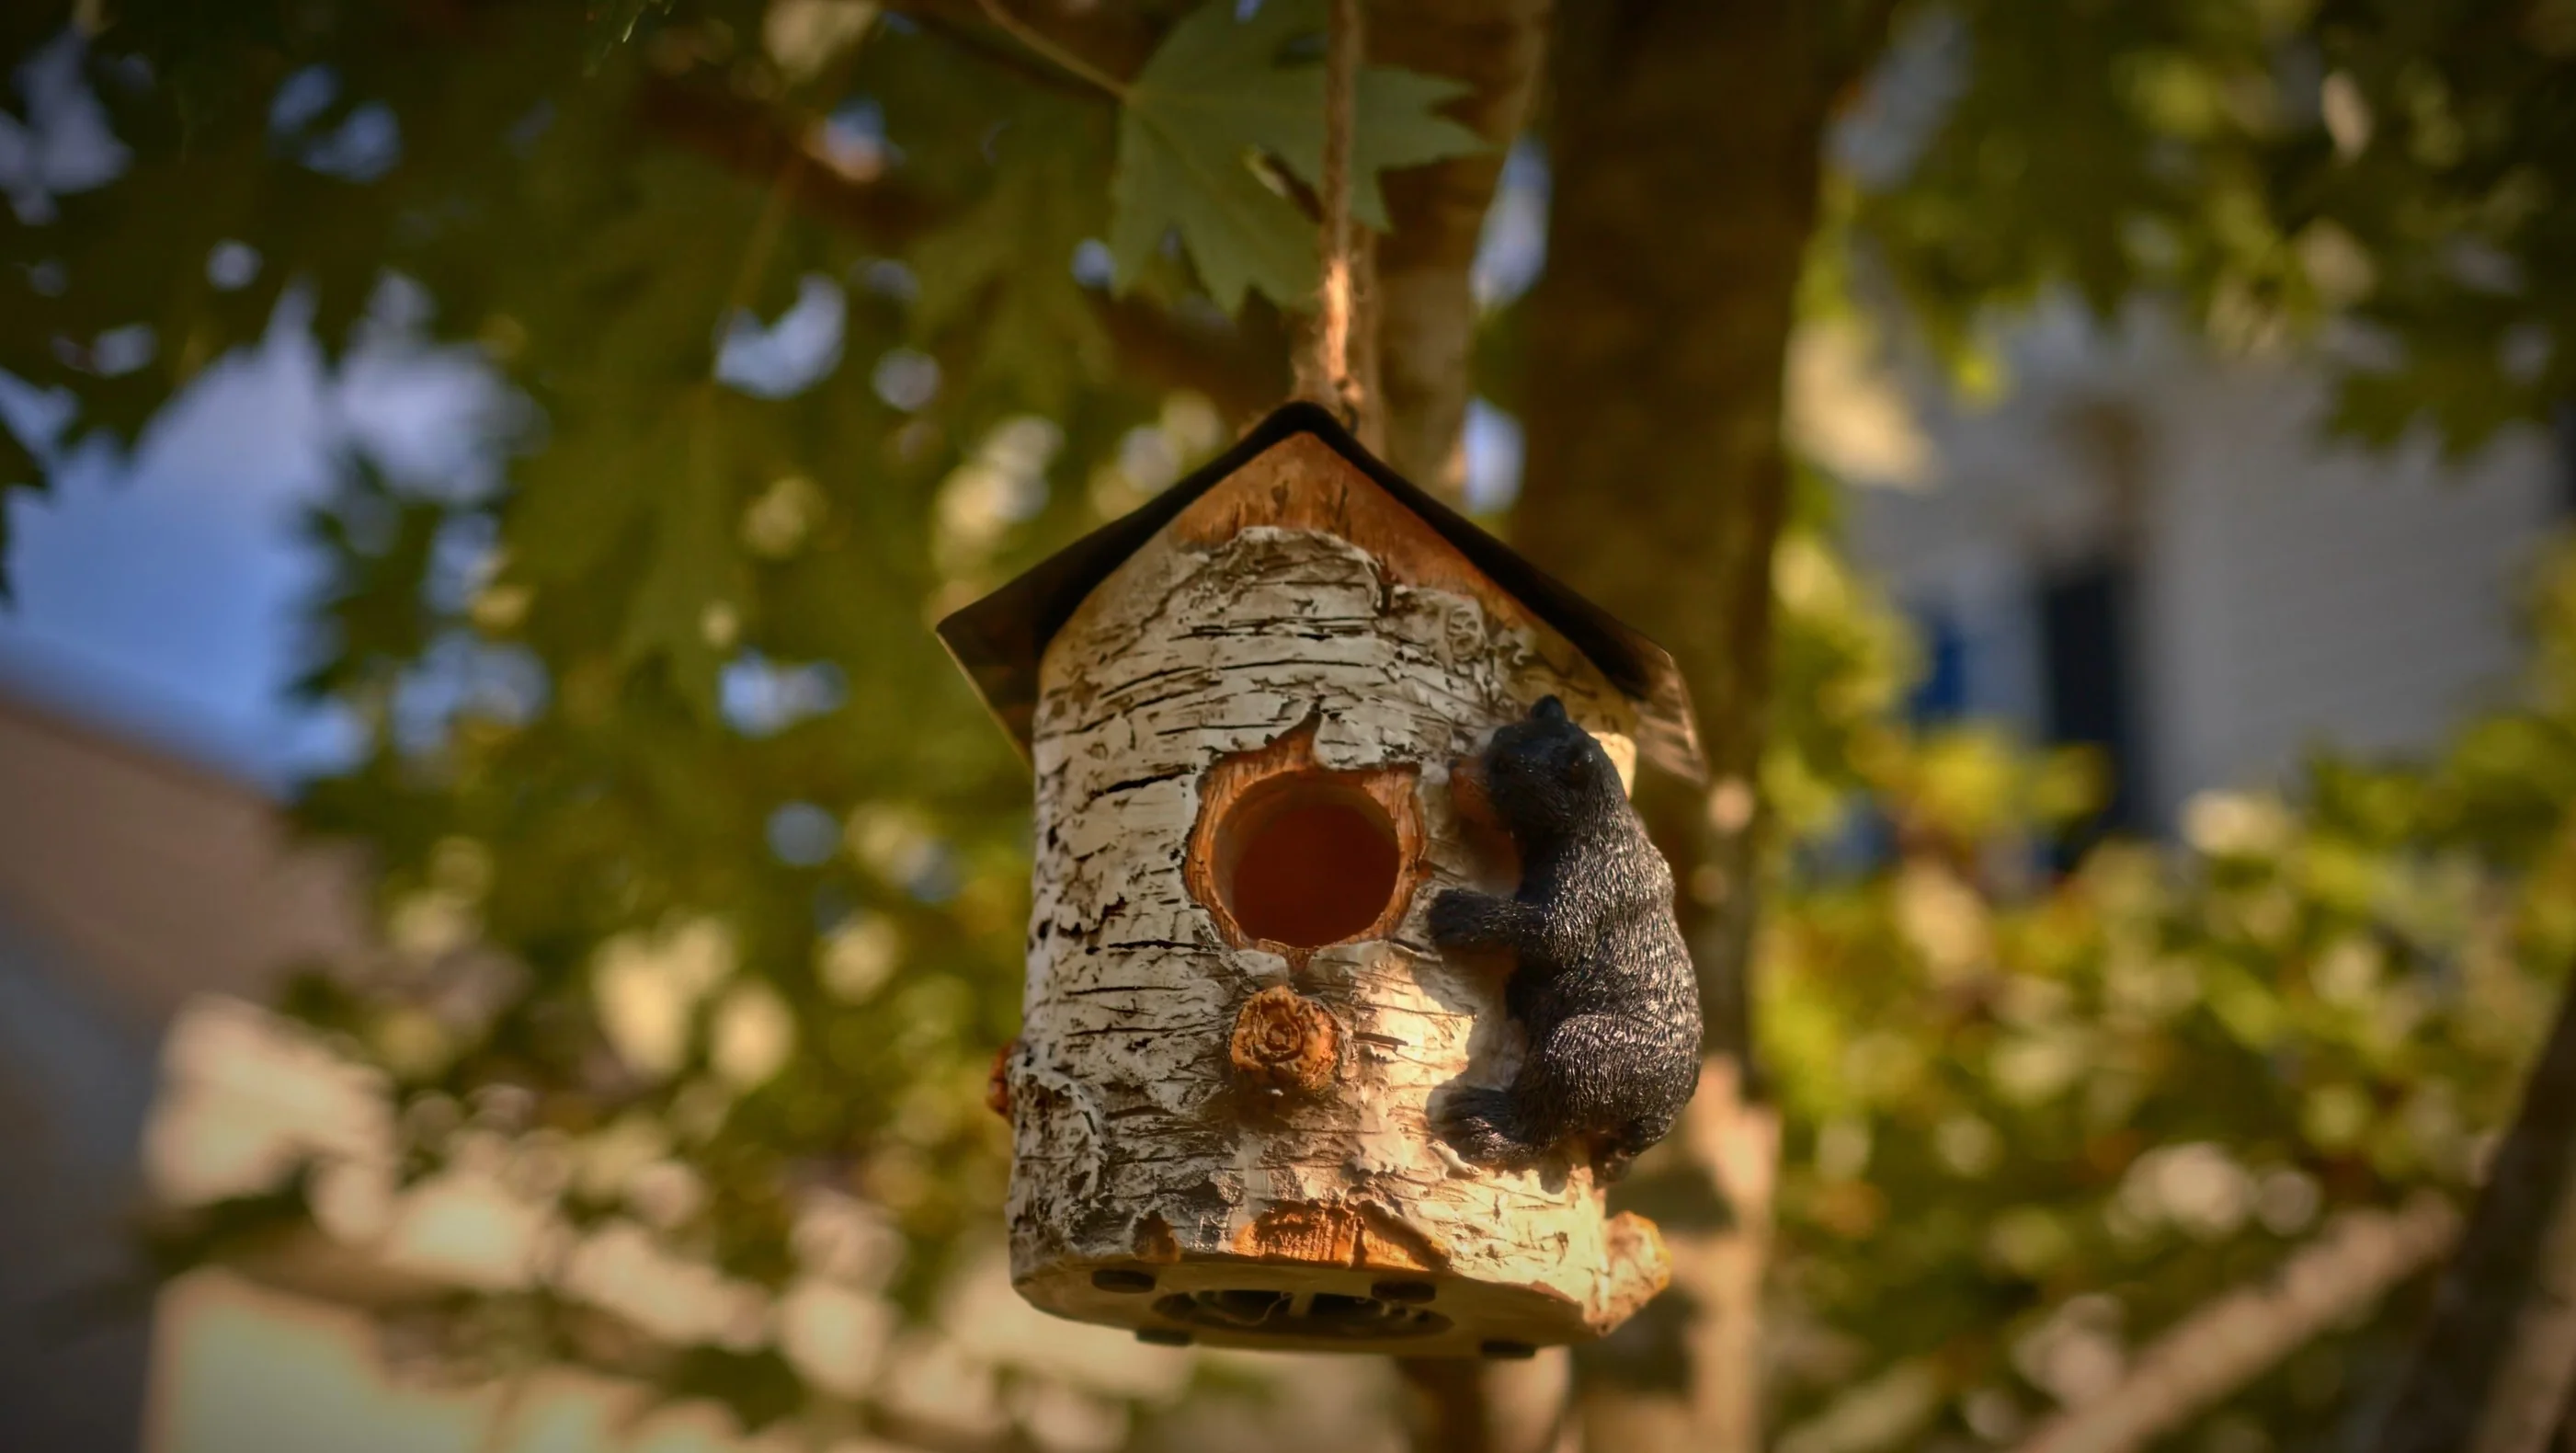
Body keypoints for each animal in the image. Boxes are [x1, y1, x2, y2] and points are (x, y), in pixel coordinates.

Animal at [1428, 695, 1701, 1181]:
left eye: (1507, 767)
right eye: (1498, 739)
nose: (1456, 769)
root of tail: (1664, 1114)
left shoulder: (1592, 881)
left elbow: (1554, 932)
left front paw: (1459, 912)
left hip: (1602, 1050)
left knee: (1557, 1090)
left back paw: (1486, 1124)